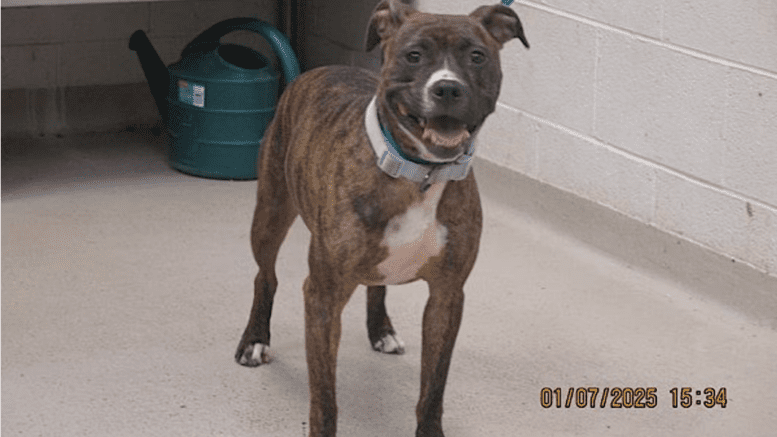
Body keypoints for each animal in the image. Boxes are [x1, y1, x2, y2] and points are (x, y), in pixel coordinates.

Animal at [235, 1, 528, 434]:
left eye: (477, 56)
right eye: (414, 55)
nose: (448, 88)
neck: (420, 175)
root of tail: (316, 70)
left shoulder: (447, 297)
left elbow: (433, 387)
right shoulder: (322, 296)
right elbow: (325, 398)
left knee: (376, 285)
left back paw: (381, 330)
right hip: (270, 213)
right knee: (265, 275)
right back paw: (255, 340)